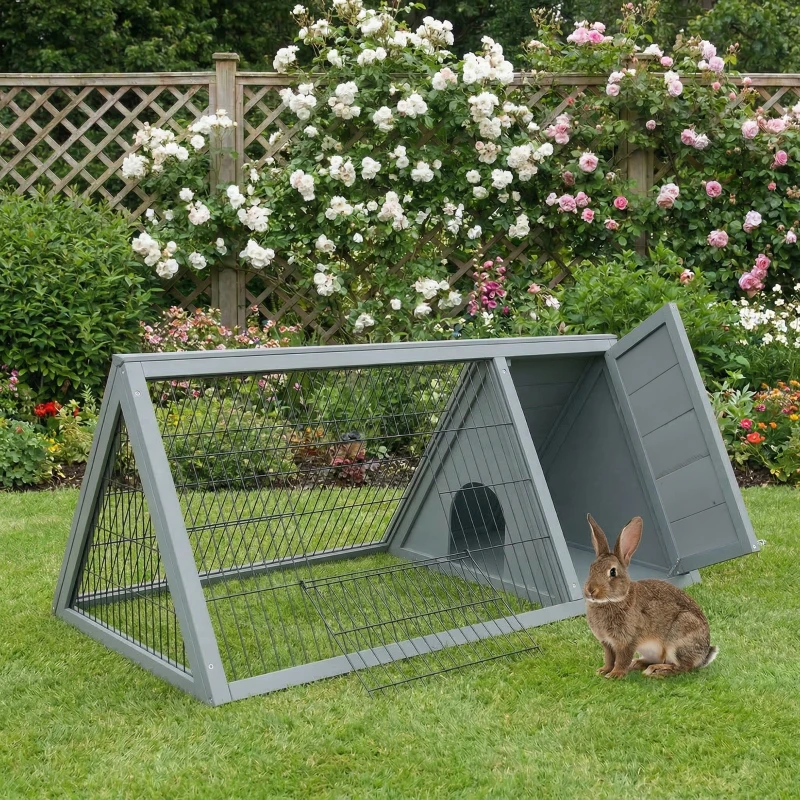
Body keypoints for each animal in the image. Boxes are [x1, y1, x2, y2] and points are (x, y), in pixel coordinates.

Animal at [583, 513, 718, 679]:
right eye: (591, 568)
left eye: (613, 572)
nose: (590, 590)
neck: (616, 599)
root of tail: (703, 655)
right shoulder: (607, 643)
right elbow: (609, 658)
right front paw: (603, 671)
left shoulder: (628, 640)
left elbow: (621, 659)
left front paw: (615, 674)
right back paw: (638, 664)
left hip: (679, 637)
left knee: (683, 667)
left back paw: (656, 670)